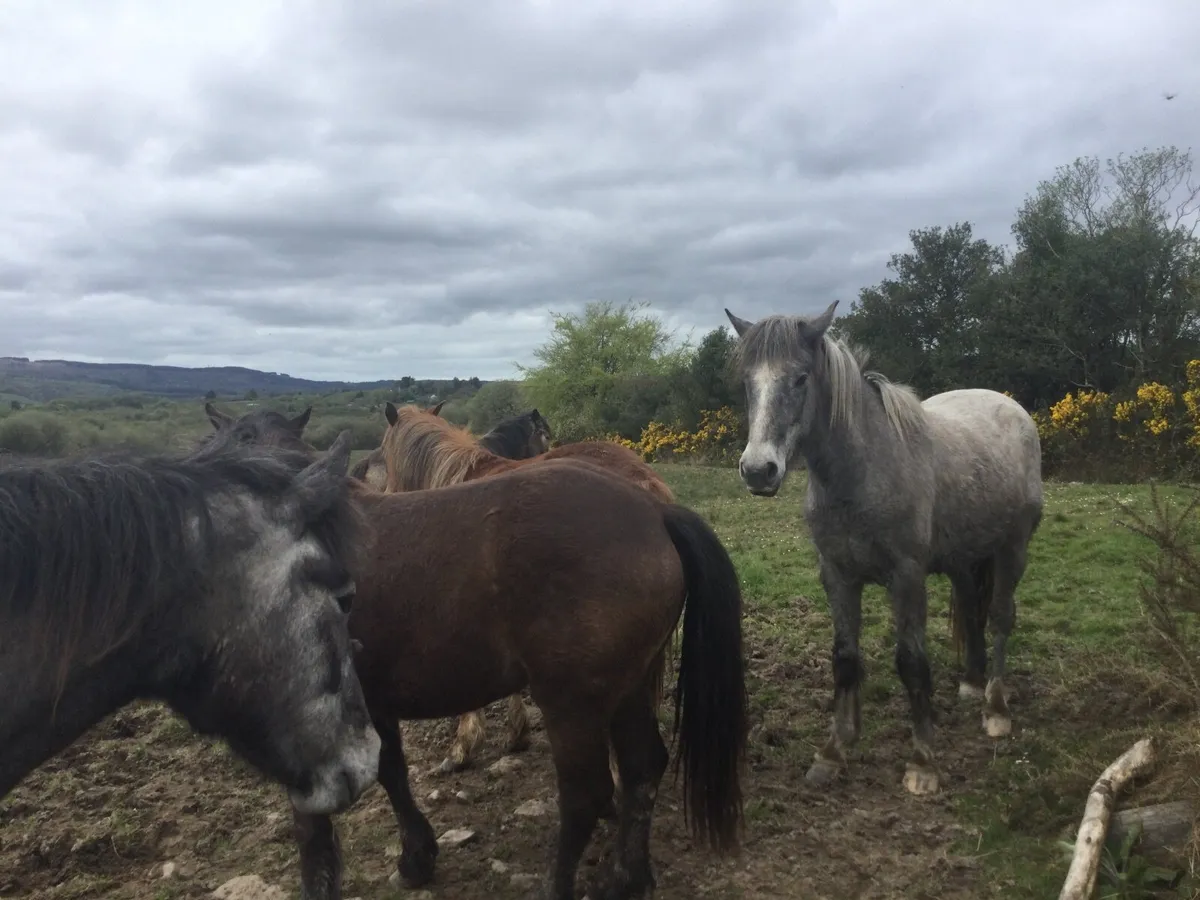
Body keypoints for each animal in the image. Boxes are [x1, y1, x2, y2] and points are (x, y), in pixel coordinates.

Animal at [725, 301, 1043, 796]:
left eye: (800, 378)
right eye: (747, 382)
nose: (759, 471)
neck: (863, 472)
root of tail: (1012, 408)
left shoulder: (907, 577)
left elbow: (911, 662)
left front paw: (923, 761)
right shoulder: (836, 575)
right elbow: (844, 659)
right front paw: (833, 753)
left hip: (1013, 549)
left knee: (1000, 618)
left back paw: (994, 708)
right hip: (963, 559)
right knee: (972, 609)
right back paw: (972, 684)